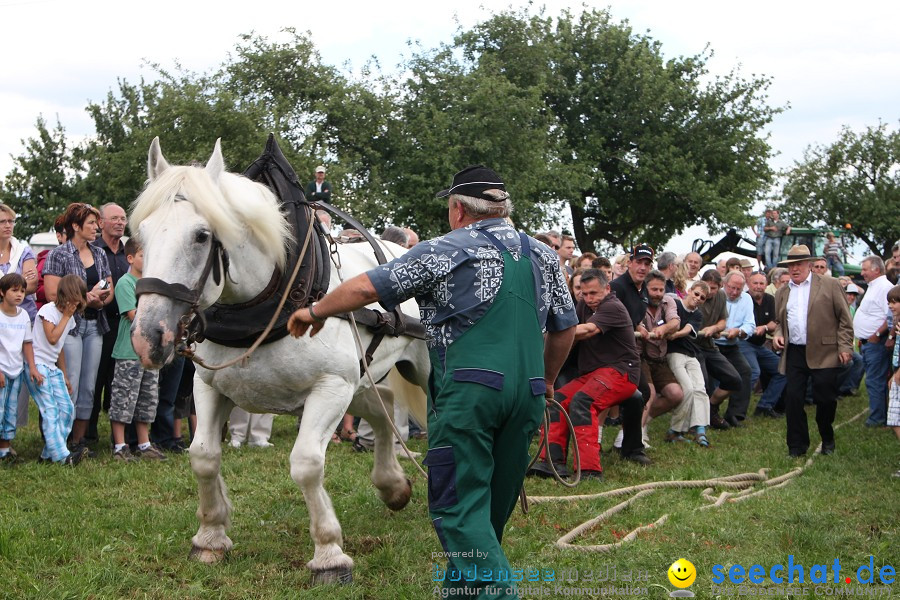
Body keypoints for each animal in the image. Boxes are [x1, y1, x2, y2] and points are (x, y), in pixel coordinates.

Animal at [129, 138, 432, 584]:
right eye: (143, 235)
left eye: (202, 235)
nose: (149, 337)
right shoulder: (209, 385)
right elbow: (203, 456)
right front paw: (210, 537)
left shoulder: (330, 387)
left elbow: (306, 464)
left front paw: (329, 554)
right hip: (360, 377)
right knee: (383, 409)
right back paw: (392, 486)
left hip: (411, 371)